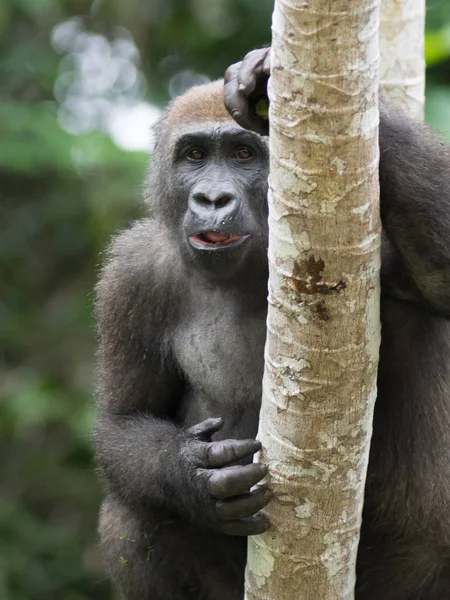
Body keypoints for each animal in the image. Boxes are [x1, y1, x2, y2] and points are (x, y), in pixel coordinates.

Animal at [94, 48, 450, 600]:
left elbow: (441, 280)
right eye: (194, 155)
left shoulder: (372, 237)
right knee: (132, 516)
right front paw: (192, 477)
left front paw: (267, 76)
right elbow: (123, 420)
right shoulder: (132, 276)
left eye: (243, 154)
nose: (212, 200)